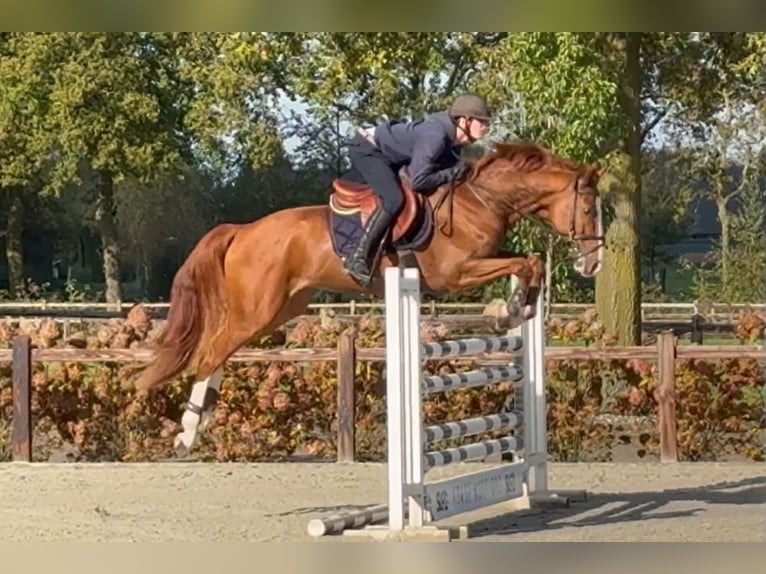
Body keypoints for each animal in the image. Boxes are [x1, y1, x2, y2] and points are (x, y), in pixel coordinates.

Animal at [136, 142, 608, 456]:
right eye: (589, 210)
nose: (593, 264)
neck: (482, 199)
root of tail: (242, 230)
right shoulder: (454, 274)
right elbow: (525, 263)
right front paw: (510, 311)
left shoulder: (483, 259)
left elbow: (529, 261)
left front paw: (515, 308)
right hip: (257, 309)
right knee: (211, 352)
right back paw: (188, 432)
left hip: (281, 308)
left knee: (220, 352)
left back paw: (199, 421)